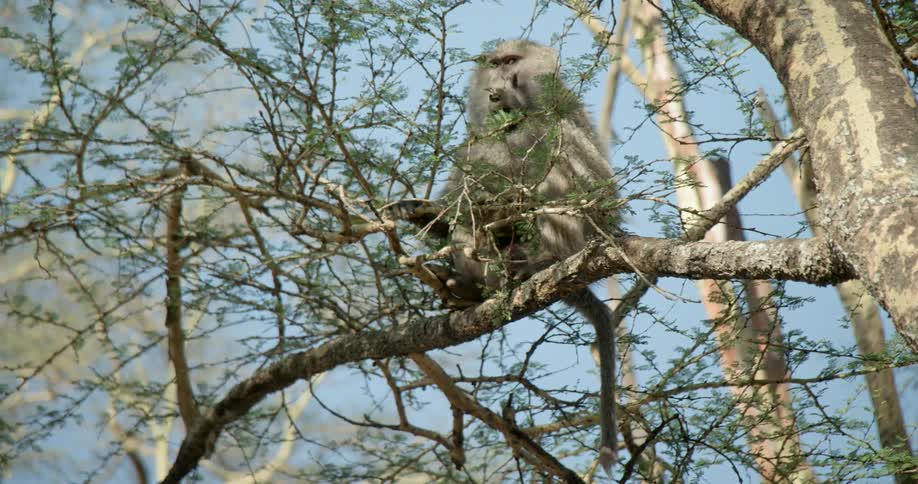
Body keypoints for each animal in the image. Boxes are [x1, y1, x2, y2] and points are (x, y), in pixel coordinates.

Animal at [390, 39, 619, 474]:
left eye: (513, 64)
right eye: (494, 65)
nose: (497, 92)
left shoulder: (555, 116)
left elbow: (591, 187)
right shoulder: (476, 140)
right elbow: (457, 203)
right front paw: (420, 212)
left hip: (566, 241)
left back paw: (530, 265)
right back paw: (468, 287)